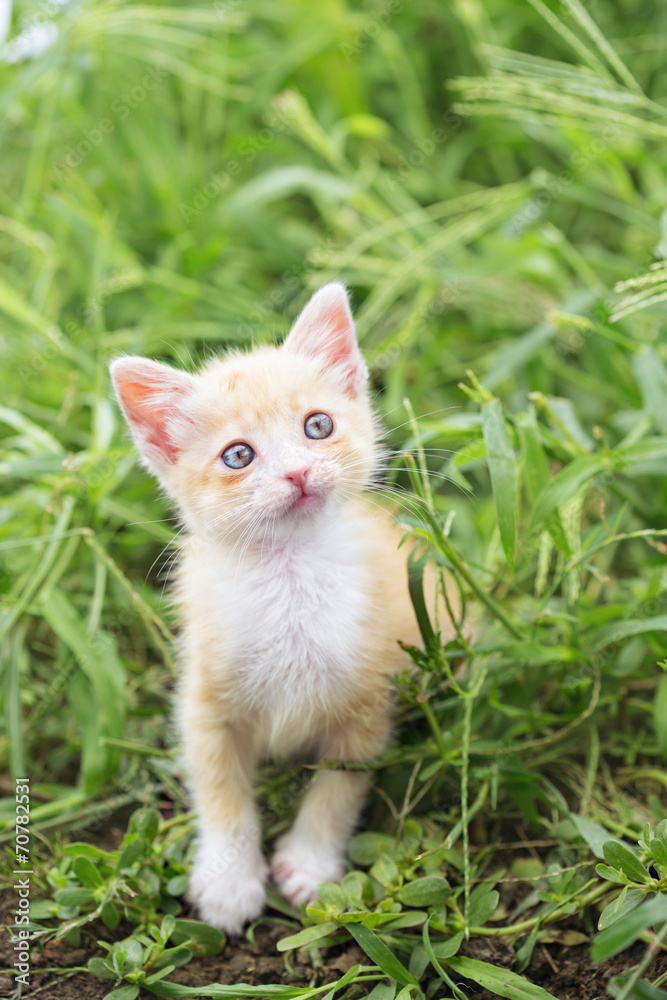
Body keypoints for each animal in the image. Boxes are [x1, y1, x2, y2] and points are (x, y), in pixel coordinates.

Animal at [111, 284, 454, 936]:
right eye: (237, 455)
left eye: (318, 425)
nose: (298, 471)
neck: (291, 575)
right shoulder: (204, 703)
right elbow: (221, 794)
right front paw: (228, 880)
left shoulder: (368, 700)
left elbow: (339, 789)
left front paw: (312, 865)